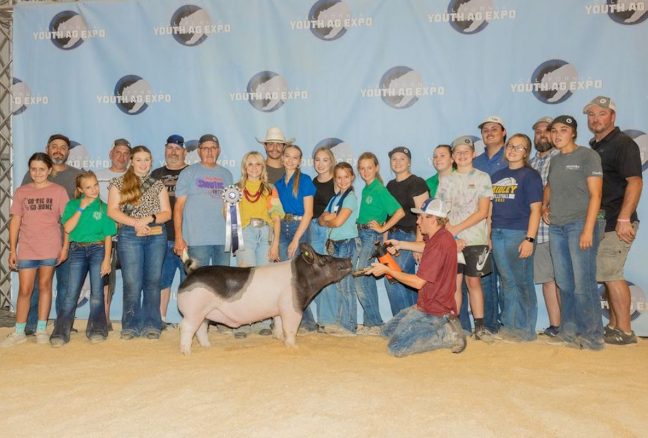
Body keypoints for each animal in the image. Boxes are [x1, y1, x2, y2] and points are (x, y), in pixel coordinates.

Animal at [175, 245, 352, 354]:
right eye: (326, 260)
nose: (349, 259)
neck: (303, 277)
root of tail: (191, 272)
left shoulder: (279, 309)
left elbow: (279, 324)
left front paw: (278, 339)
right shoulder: (292, 307)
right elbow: (290, 328)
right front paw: (293, 347)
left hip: (204, 313)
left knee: (200, 330)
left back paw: (207, 347)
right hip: (193, 310)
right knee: (186, 328)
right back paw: (186, 352)